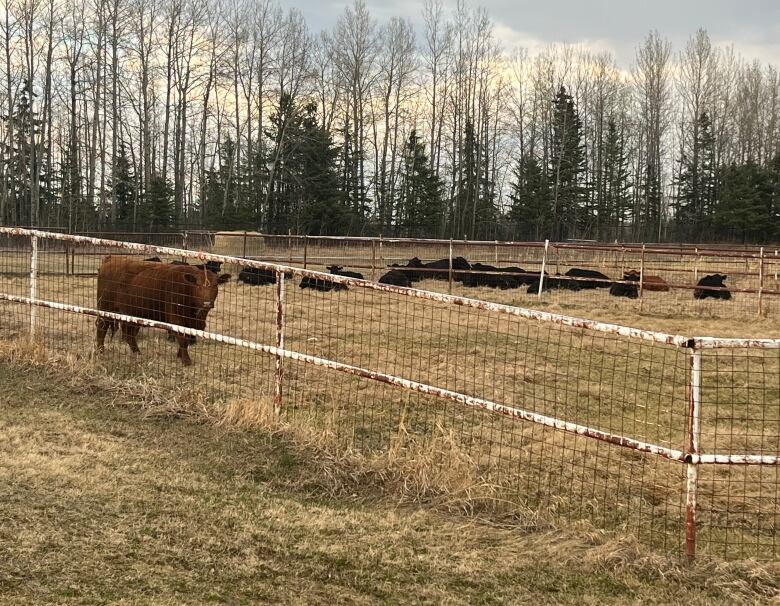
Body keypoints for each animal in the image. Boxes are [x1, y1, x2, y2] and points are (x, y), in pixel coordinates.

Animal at [94, 256, 229, 366]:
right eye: (198, 285)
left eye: (215, 285)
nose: (206, 303)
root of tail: (112, 259)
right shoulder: (176, 317)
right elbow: (182, 338)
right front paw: (186, 360)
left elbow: (187, 337)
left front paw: (180, 355)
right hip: (106, 307)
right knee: (102, 327)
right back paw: (100, 350)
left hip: (130, 313)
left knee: (128, 334)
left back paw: (137, 353)